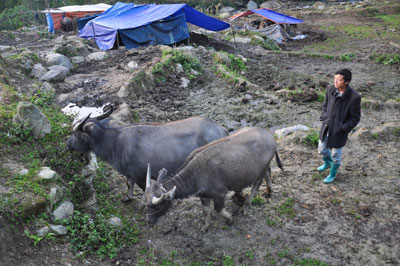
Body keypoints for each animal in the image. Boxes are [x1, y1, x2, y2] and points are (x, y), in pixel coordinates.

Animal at [67, 104, 227, 202]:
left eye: (74, 133)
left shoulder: (140, 175)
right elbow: (128, 184)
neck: (114, 142)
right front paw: (128, 198)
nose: (68, 144)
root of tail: (221, 129)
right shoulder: (130, 175)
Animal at [144, 127, 282, 229]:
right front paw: (204, 227)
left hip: (259, 172)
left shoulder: (220, 194)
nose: (149, 220)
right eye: (146, 204)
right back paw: (268, 191)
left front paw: (230, 219)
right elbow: (206, 211)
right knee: (268, 173)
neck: (196, 174)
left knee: (256, 185)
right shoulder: (204, 196)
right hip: (264, 167)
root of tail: (269, 136)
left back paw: (246, 207)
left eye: (156, 206)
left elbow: (218, 209)